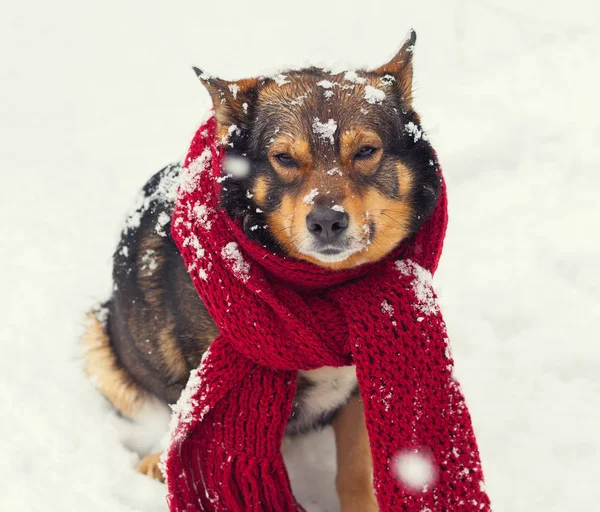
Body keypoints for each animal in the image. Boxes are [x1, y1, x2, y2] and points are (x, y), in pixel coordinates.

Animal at [83, 30, 440, 510]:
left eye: (366, 151)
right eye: (284, 159)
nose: (326, 221)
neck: (320, 289)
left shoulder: (358, 391)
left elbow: (354, 474)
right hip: (100, 343)